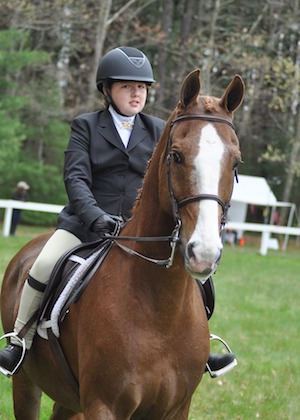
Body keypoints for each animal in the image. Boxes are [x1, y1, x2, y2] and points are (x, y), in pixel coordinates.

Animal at [0, 70, 244, 418]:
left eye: (235, 163)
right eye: (176, 156)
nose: (204, 252)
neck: (161, 311)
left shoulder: (177, 408)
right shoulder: (105, 405)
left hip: (69, 398)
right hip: (26, 382)